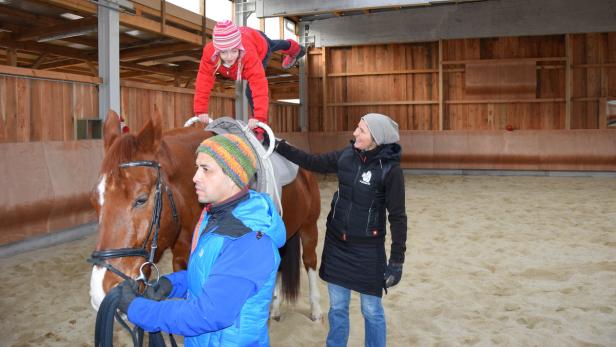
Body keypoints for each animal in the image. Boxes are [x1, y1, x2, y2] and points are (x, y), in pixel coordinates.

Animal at [89, 110, 324, 322]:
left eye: (141, 199)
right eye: (95, 201)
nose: (102, 291)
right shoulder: (181, 259)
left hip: (309, 227)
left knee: (310, 261)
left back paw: (316, 309)